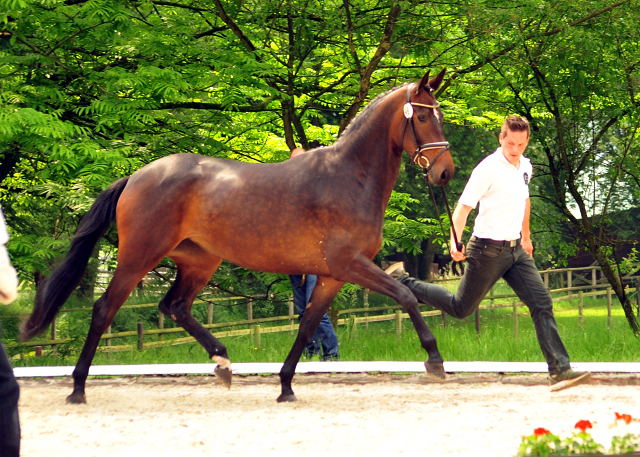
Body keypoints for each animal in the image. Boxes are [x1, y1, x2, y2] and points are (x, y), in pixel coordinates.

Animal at [21, 68, 456, 402]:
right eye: (421, 118)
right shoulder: (351, 264)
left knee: (174, 306)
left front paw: (285, 386)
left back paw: (223, 362)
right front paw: (434, 359)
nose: (445, 172)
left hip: (199, 260)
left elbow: (308, 324)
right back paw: (78, 388)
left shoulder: (332, 275)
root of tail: (137, 176)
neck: (349, 177)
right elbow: (405, 296)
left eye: (440, 116)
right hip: (138, 258)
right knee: (104, 309)